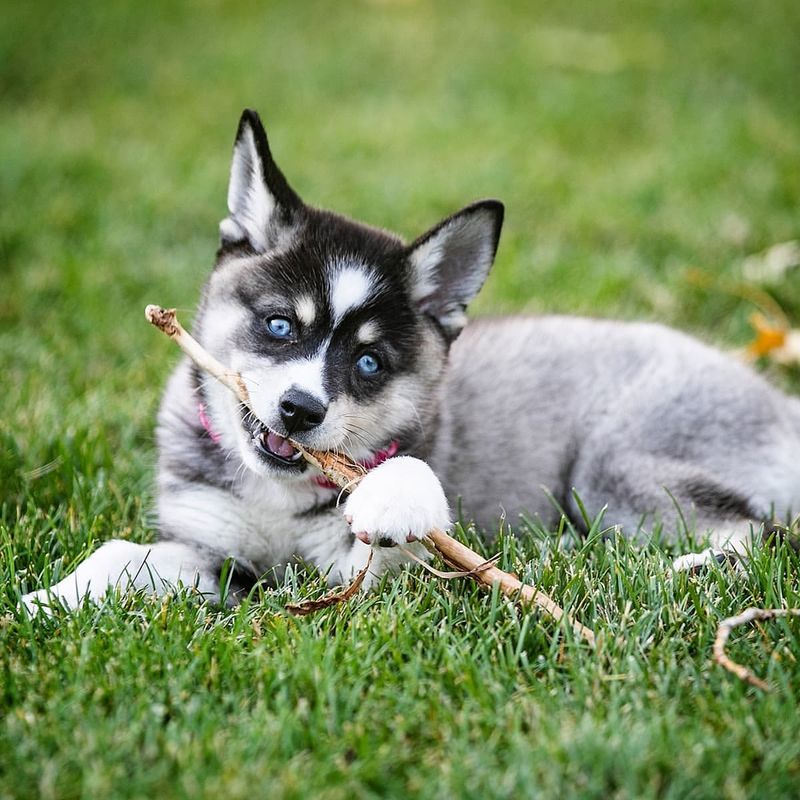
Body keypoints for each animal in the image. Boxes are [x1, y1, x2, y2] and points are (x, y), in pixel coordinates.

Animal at [21, 109, 800, 612]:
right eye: (279, 325)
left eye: (369, 364)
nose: (299, 411)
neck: (275, 497)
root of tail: (779, 401)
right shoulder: (216, 549)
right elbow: (125, 554)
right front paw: (48, 600)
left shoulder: (370, 578)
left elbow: (403, 515)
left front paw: (396, 493)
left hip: (615, 467)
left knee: (761, 533)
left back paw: (692, 568)